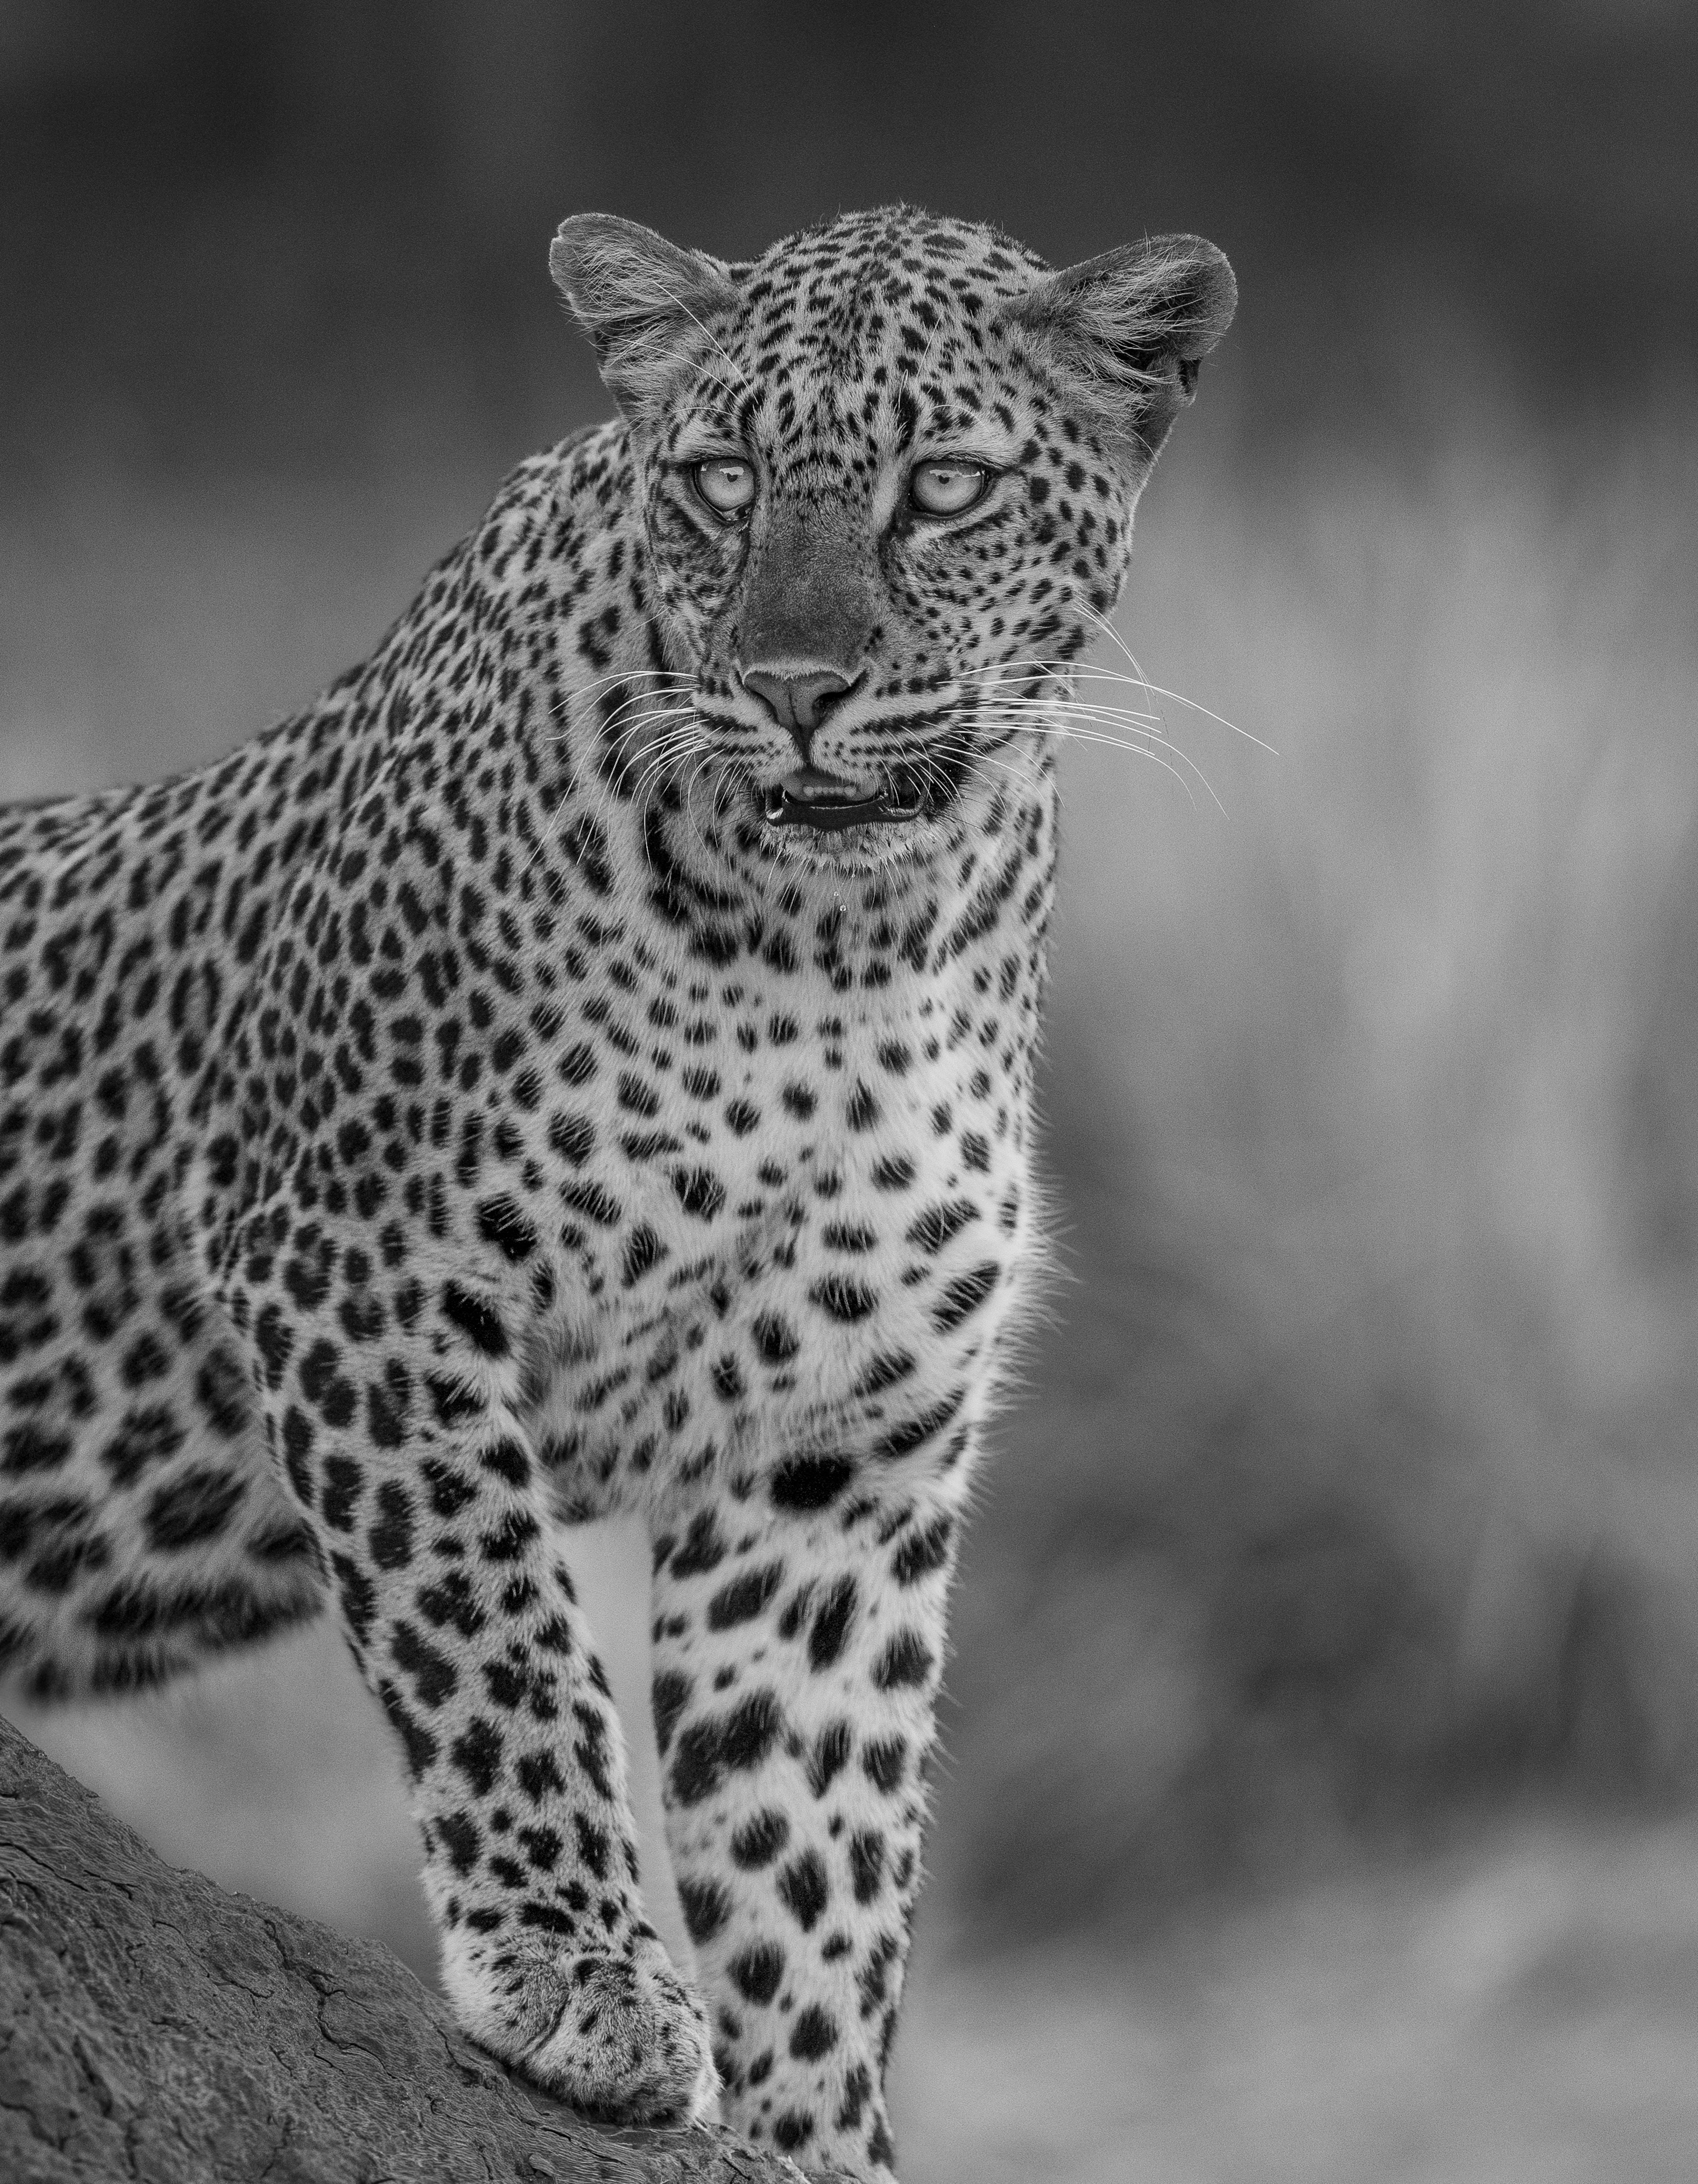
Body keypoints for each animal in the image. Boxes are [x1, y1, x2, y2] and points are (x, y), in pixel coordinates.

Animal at [0, 204, 1234, 2179]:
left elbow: (819, 1848)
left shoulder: (844, 1442)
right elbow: (496, 1633)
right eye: (721, 481)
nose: (795, 687)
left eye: (943, 490)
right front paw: (583, 1977)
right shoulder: (356, 1263)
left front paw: (812, 2138)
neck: (842, 947)